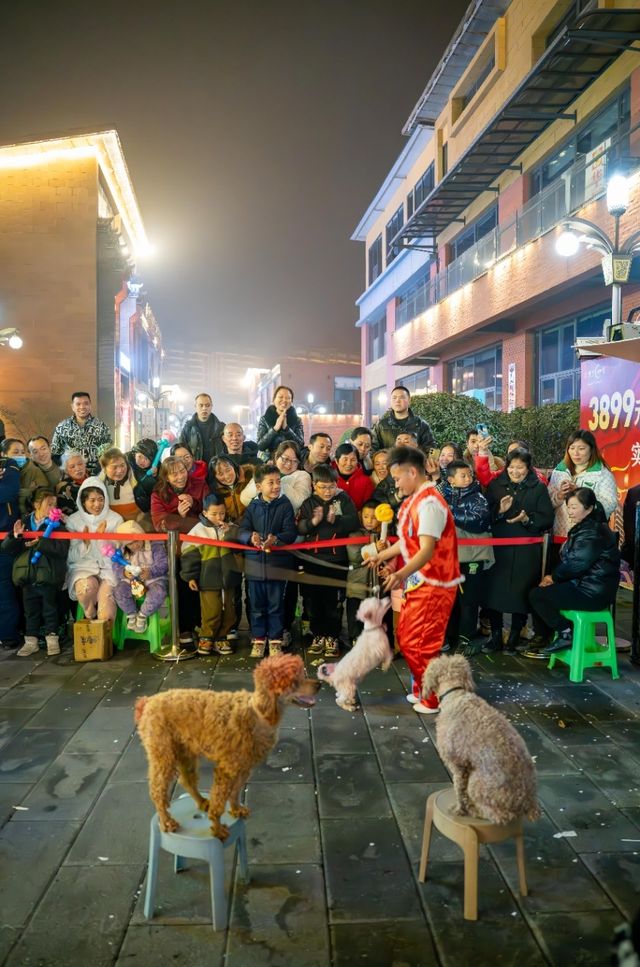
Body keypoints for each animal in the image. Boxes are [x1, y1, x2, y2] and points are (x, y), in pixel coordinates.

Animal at [135, 656, 320, 840]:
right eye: (294, 681)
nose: (319, 684)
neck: (258, 714)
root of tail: (148, 702)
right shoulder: (226, 769)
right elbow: (219, 799)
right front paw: (217, 828)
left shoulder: (243, 768)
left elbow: (235, 792)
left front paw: (236, 809)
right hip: (162, 754)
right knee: (157, 790)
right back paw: (166, 821)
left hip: (185, 752)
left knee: (187, 780)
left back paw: (202, 802)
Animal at [424, 652, 540, 824]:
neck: (455, 695)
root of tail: (528, 803)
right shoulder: (467, 765)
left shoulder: (458, 765)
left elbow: (459, 790)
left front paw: (459, 810)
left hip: (478, 784)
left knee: (501, 816)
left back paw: (475, 811)